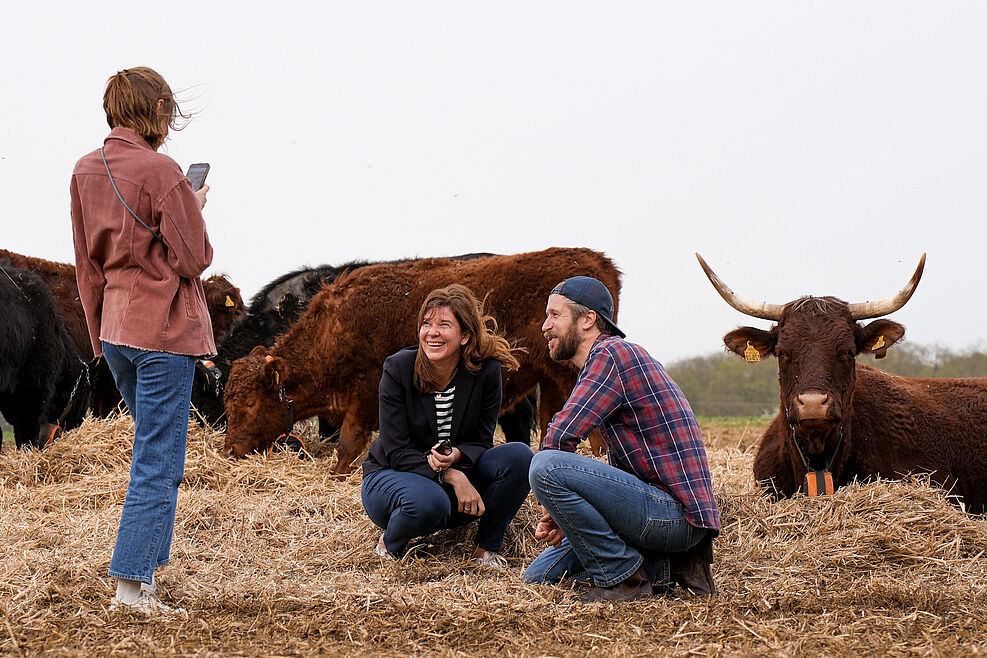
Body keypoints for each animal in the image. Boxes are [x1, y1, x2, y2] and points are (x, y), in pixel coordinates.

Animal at [228, 247, 620, 472]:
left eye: (249, 402)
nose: (231, 448)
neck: (335, 326)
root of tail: (594, 259)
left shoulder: (365, 395)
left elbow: (348, 444)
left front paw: (338, 475)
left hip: (573, 372)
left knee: (595, 429)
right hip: (550, 377)